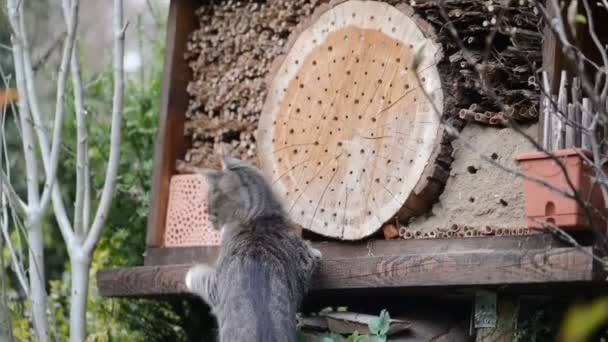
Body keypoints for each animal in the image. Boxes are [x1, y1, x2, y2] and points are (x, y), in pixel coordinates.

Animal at [184, 156, 324, 340]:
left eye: (212, 213)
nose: (211, 223)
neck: (259, 218)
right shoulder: (306, 260)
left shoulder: (215, 286)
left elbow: (197, 277)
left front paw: (189, 275)